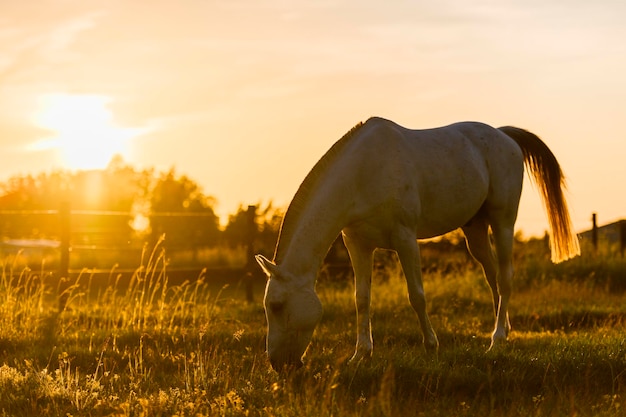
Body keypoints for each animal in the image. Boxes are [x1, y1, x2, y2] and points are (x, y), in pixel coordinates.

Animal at [252, 117, 576, 370]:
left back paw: (496, 341)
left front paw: (431, 346)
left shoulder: (405, 239)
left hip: (503, 222)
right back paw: (503, 331)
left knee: (506, 277)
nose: (277, 364)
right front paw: (361, 355)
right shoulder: (358, 244)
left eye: (277, 306)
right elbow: (361, 299)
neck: (363, 173)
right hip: (475, 231)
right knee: (492, 276)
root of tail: (504, 135)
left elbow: (416, 295)